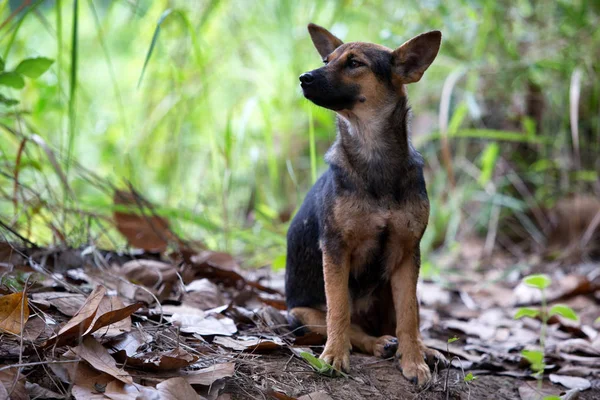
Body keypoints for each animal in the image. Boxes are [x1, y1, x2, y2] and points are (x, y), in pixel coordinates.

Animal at [284, 22, 446, 384]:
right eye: (327, 59)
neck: (374, 158)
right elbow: (339, 311)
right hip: (299, 314)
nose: (303, 78)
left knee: (406, 320)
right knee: (348, 326)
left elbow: (409, 316)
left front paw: (414, 362)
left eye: (355, 63)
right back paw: (377, 343)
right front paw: (334, 356)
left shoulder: (407, 252)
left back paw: (421, 349)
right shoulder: (335, 248)